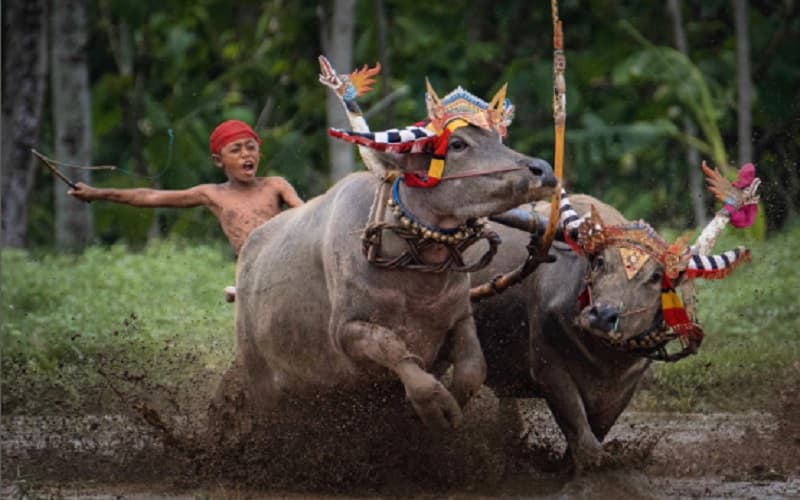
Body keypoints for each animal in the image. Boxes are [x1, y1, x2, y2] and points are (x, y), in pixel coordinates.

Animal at [208, 80, 556, 440]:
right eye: (458, 144)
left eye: (497, 139)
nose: (542, 171)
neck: (414, 273)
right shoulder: (346, 331)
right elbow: (393, 348)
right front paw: (434, 407)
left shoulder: (460, 317)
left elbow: (474, 368)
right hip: (260, 381)